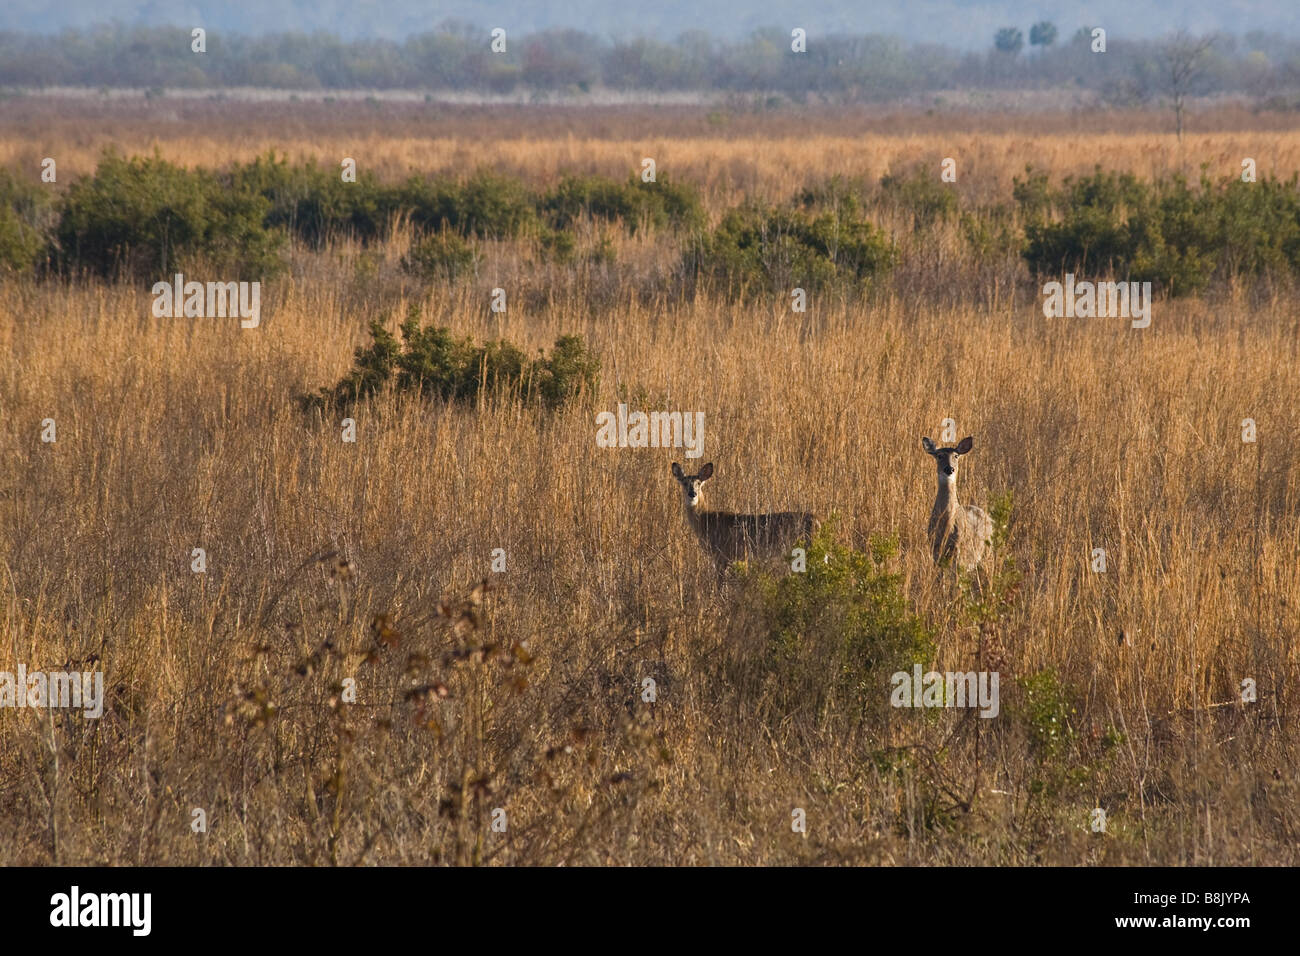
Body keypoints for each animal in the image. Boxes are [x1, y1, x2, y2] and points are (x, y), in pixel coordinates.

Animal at [670, 462, 816, 572]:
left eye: (699, 483)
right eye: (684, 483)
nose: (692, 494)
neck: (707, 521)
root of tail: (817, 520)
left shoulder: (723, 555)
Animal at [920, 436, 993, 573]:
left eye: (956, 456)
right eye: (939, 455)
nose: (949, 469)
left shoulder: (958, 551)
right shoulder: (934, 548)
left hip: (986, 552)